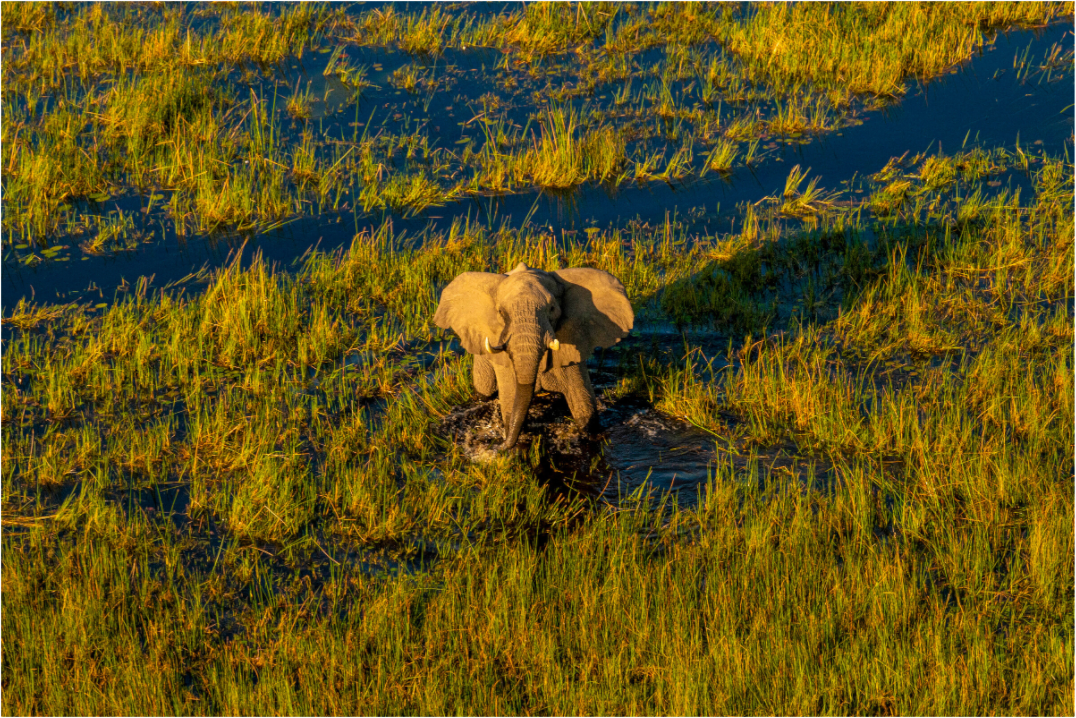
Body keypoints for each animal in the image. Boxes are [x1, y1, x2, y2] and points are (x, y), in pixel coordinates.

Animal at [434, 262, 633, 450]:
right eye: (501, 313)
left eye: (552, 308)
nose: (502, 445)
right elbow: (510, 402)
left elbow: (584, 404)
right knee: (485, 389)